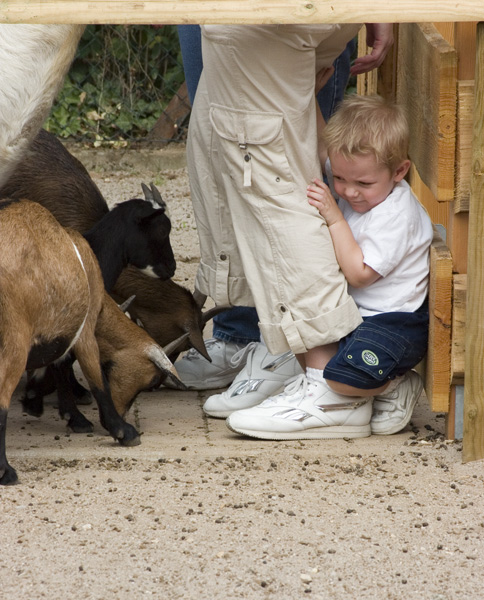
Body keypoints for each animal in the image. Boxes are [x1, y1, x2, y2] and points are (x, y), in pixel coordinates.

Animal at [0, 199, 182, 486]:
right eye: (162, 231)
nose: (171, 267)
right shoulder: (84, 328)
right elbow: (91, 375)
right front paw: (116, 428)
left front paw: (36, 400)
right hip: (15, 339)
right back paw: (6, 471)